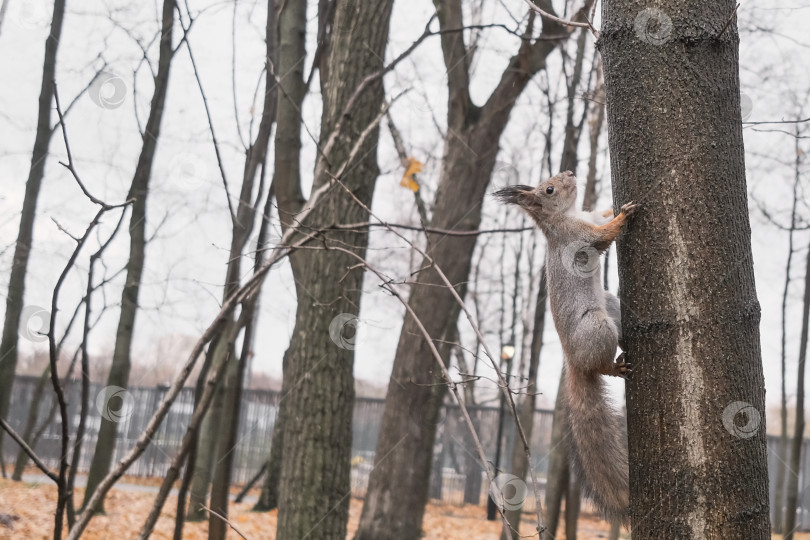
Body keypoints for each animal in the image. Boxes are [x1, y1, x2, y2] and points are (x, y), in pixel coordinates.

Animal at [492, 170, 636, 524]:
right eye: (549, 189)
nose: (570, 173)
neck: (567, 215)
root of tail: (573, 362)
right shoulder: (578, 235)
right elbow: (603, 236)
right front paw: (624, 215)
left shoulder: (587, 217)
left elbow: (600, 215)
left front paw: (613, 206)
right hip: (597, 328)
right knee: (602, 366)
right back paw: (615, 366)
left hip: (610, 305)